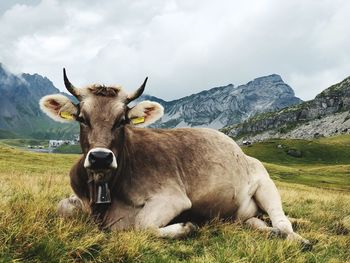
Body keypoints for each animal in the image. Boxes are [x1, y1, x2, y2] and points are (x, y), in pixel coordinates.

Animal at [39, 68, 310, 250]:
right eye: (82, 118)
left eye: (122, 120)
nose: (100, 158)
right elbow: (62, 206)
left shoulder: (172, 197)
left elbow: (142, 225)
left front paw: (186, 227)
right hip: (242, 214)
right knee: (256, 222)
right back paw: (267, 231)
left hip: (266, 183)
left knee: (283, 221)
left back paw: (297, 239)